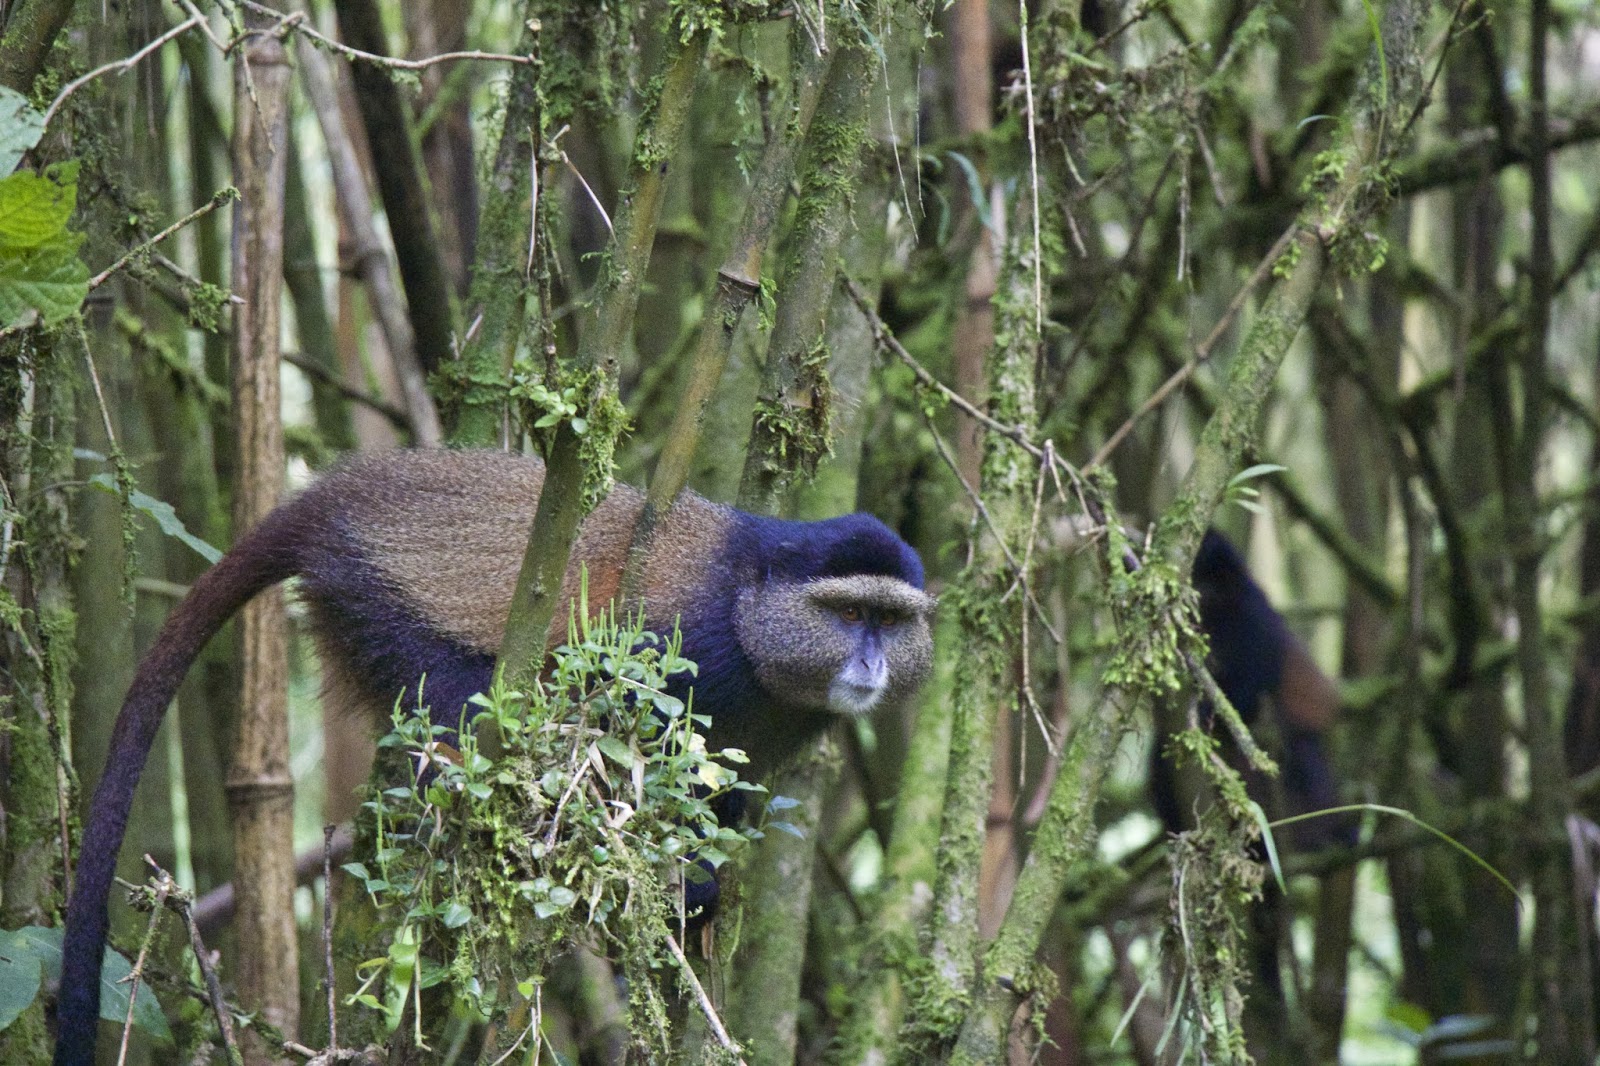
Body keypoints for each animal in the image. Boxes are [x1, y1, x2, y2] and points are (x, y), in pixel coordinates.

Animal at [55, 449, 935, 1065]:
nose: (869, 664)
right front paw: (676, 883)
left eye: (891, 623)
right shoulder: (684, 649)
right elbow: (609, 733)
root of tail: (333, 501)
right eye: (847, 614)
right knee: (472, 720)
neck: (756, 618)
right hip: (379, 608)